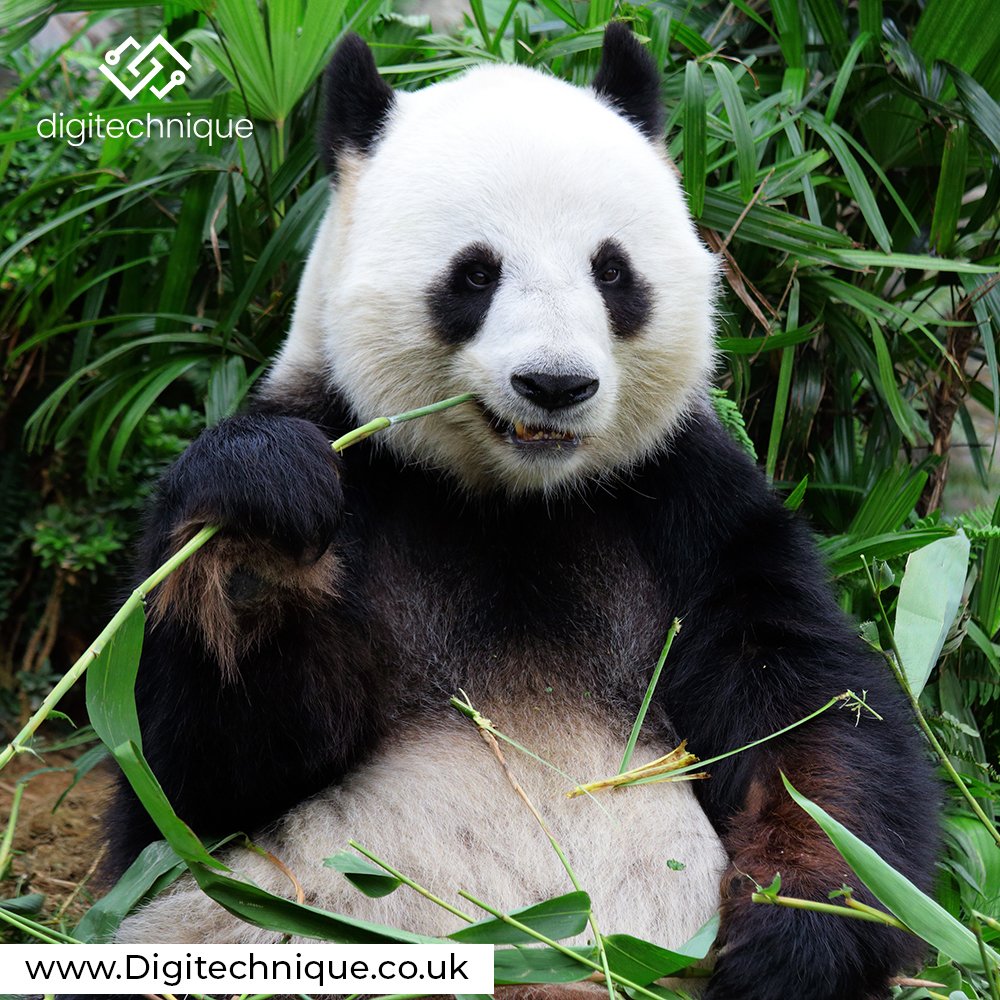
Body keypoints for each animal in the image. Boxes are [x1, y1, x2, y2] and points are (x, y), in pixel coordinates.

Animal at [101, 23, 938, 1000]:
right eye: (474, 274)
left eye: (612, 271)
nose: (555, 385)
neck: (514, 500)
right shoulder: (361, 463)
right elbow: (188, 786)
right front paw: (257, 533)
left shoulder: (688, 506)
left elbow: (811, 717)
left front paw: (793, 934)